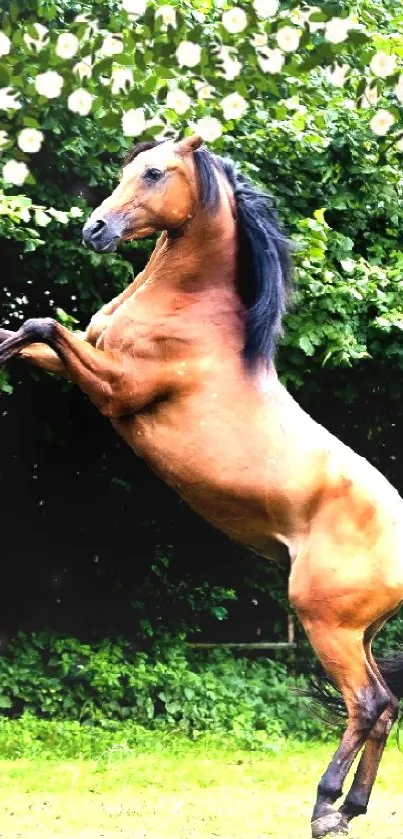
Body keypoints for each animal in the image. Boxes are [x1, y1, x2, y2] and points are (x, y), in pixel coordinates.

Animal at [0, 135, 403, 836]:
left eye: (156, 173)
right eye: (128, 168)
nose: (95, 229)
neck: (191, 313)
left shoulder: (117, 388)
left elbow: (43, 326)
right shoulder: (84, 360)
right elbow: (25, 334)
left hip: (326, 623)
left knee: (368, 702)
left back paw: (326, 807)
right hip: (363, 632)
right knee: (386, 708)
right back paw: (352, 808)